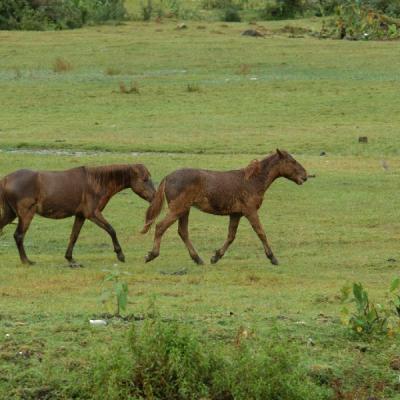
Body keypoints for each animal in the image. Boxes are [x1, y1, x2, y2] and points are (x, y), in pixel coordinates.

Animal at [0, 164, 155, 268]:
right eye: (144, 179)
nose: (154, 196)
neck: (95, 182)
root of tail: (6, 179)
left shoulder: (80, 216)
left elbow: (74, 236)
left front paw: (70, 258)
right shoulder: (93, 213)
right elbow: (111, 230)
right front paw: (120, 254)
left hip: (10, 214)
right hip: (26, 214)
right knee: (19, 236)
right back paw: (26, 261)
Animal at [142, 150, 308, 266]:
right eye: (292, 161)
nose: (305, 176)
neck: (253, 181)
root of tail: (168, 177)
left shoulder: (235, 214)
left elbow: (231, 236)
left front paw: (216, 257)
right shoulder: (250, 212)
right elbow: (261, 233)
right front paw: (273, 258)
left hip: (185, 210)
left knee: (183, 232)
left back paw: (198, 259)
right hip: (178, 209)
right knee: (160, 226)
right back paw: (151, 255)